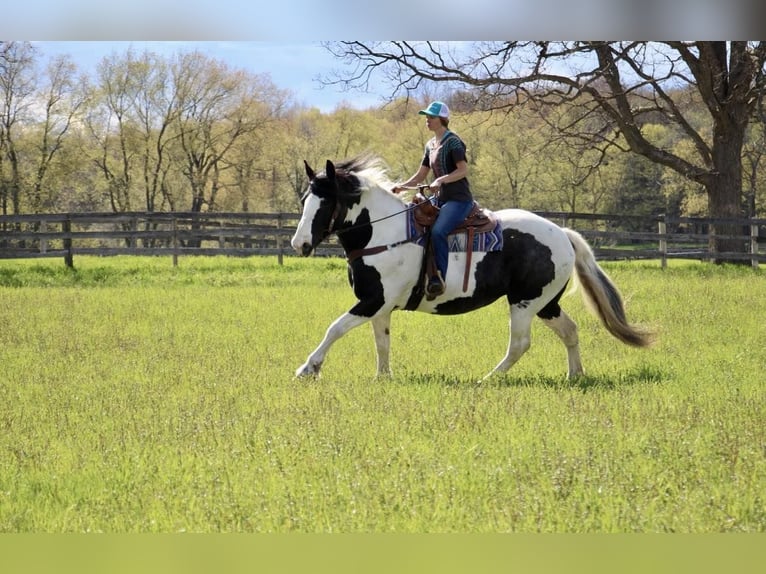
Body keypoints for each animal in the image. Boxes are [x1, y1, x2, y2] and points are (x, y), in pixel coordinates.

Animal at [292, 154, 652, 382]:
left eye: (325, 201)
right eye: (304, 200)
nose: (300, 244)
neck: (384, 234)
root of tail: (563, 234)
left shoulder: (372, 302)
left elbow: (335, 328)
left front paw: (308, 369)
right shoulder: (380, 306)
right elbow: (382, 342)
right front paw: (383, 377)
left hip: (524, 303)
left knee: (520, 344)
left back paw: (488, 379)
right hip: (546, 303)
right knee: (570, 331)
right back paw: (574, 375)